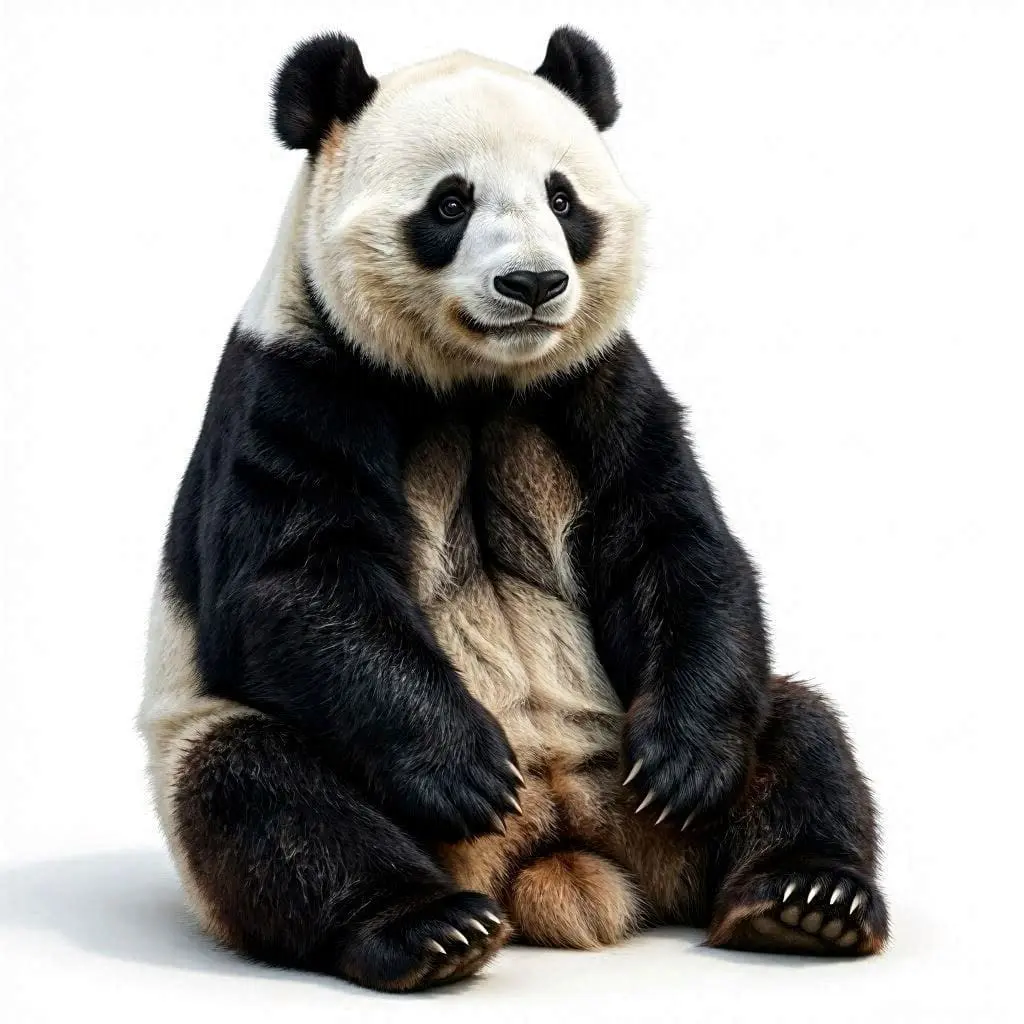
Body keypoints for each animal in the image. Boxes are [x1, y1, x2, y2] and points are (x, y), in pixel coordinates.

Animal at [139, 27, 889, 992]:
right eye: (450, 202)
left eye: (562, 198)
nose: (533, 284)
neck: (477, 381)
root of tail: (558, 854)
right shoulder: (300, 378)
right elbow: (295, 581)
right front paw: (464, 770)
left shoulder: (600, 384)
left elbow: (674, 544)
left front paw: (683, 765)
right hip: (223, 753)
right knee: (258, 790)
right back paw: (429, 927)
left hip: (638, 772)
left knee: (796, 725)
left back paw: (805, 899)